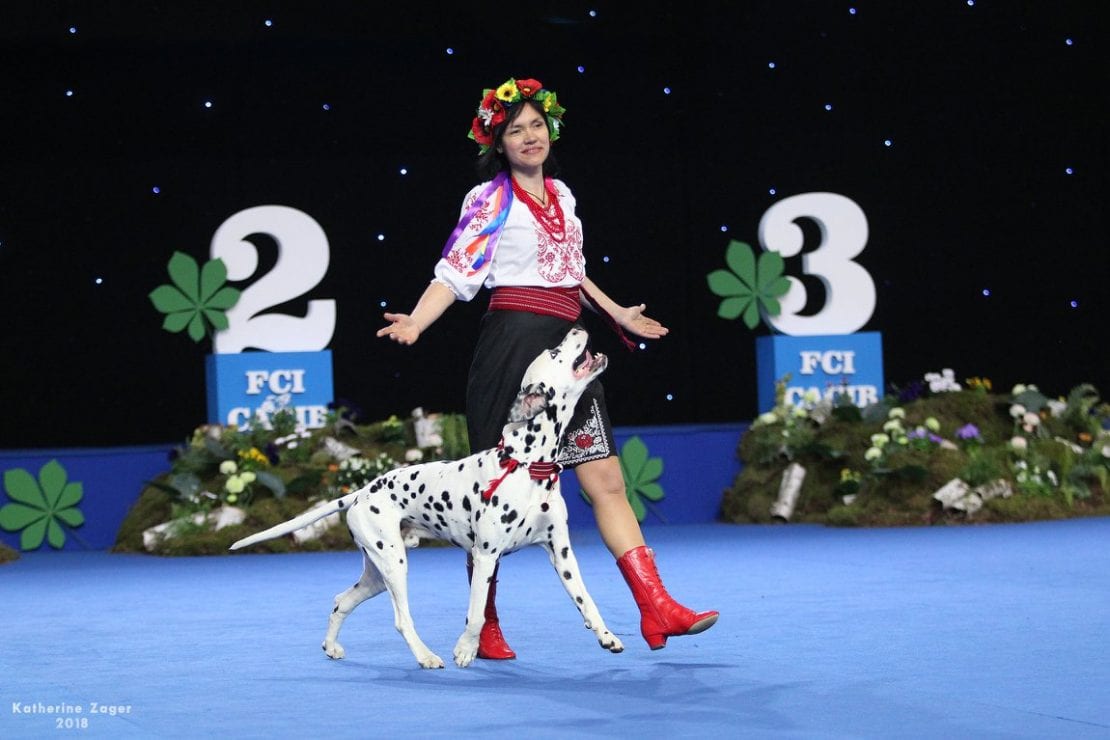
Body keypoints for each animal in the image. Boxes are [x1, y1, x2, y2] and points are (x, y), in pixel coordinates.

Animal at [229, 326, 626, 670]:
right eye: (555, 352)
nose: (576, 326)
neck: (527, 464)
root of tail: (361, 492)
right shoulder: (485, 556)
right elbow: (476, 612)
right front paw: (465, 649)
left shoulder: (561, 554)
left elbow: (585, 599)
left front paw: (605, 635)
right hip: (394, 566)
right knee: (402, 620)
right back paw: (425, 656)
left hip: (377, 574)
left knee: (341, 601)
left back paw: (332, 646)